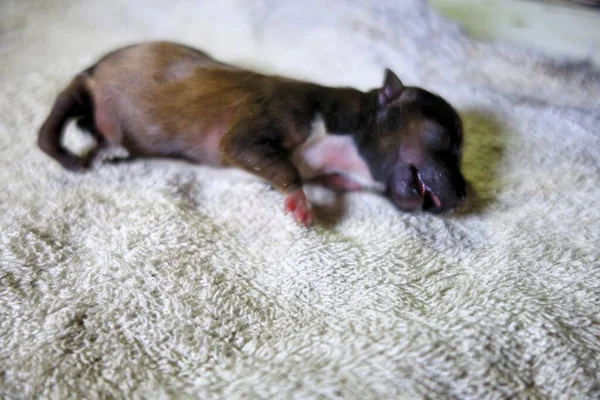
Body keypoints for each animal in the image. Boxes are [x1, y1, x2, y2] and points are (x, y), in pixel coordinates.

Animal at [38, 43, 468, 228]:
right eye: (448, 141)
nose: (465, 196)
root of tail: (93, 68)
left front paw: (342, 184)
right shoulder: (260, 127)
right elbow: (277, 164)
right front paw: (299, 201)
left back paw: (107, 148)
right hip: (81, 88)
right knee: (47, 135)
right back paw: (73, 156)